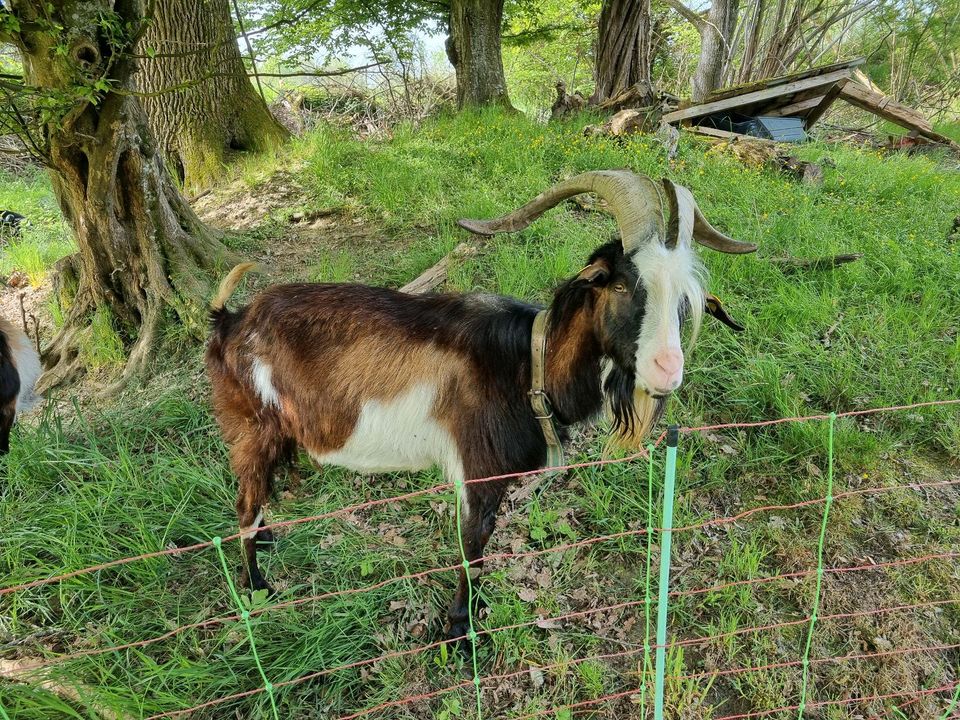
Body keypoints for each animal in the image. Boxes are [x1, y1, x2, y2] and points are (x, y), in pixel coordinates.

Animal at [206, 172, 752, 640]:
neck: (528, 364)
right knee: (243, 505)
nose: (667, 370)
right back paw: (256, 587)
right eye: (620, 285)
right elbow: (474, 546)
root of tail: (229, 321)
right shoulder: (478, 469)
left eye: (684, 299)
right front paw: (458, 629)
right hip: (251, 429)